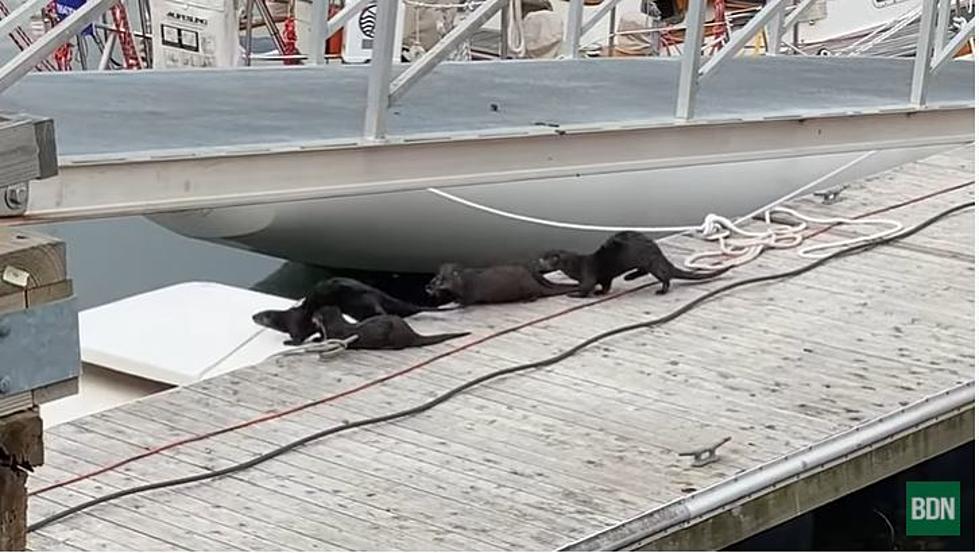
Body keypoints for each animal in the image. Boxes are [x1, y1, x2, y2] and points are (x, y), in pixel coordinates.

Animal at [424, 260, 580, 304]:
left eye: (442, 279)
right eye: (436, 277)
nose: (429, 285)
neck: (462, 284)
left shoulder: (470, 293)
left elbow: (467, 301)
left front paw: (458, 301)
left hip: (527, 287)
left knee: (537, 294)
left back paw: (528, 300)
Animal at [536, 230, 736, 298]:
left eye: (544, 260)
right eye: (540, 258)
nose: (537, 266)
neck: (575, 265)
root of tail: (661, 256)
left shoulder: (587, 273)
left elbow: (587, 287)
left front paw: (575, 294)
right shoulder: (605, 277)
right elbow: (606, 285)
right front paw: (601, 292)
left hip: (653, 263)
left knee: (665, 278)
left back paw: (661, 290)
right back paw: (629, 277)